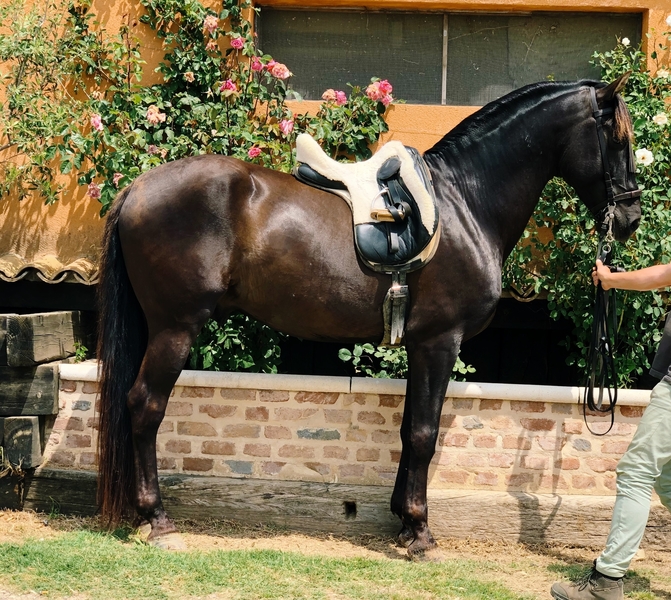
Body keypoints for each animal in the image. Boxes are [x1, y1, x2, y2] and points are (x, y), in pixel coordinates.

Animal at [96, 73, 641, 557]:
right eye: (617, 140)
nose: (632, 218)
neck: (465, 201)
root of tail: (137, 188)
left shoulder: (420, 345)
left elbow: (409, 429)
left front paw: (402, 520)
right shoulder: (439, 342)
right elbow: (424, 434)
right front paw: (420, 533)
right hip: (175, 327)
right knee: (145, 406)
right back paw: (157, 520)